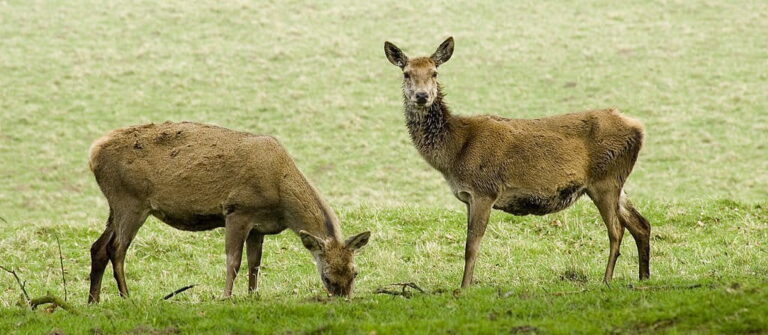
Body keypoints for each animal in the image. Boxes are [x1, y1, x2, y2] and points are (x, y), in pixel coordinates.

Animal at [85, 122, 370, 304]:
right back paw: (126, 297)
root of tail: (92, 153)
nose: (345, 299)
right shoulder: (237, 210)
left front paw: (253, 295)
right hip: (130, 200)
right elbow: (234, 260)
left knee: (98, 247)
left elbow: (255, 263)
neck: (280, 197)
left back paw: (93, 300)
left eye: (355, 272)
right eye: (326, 276)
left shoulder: (259, 226)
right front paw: (226, 296)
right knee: (116, 248)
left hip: (115, 204)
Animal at [384, 36, 648, 288]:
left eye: (434, 72)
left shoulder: (485, 190)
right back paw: (644, 277)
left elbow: (471, 246)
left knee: (616, 230)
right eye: (406, 73)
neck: (455, 152)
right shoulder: (468, 196)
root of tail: (639, 128)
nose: (422, 96)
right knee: (641, 223)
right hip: (617, 182)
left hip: (605, 180)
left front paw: (464, 287)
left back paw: (607, 280)